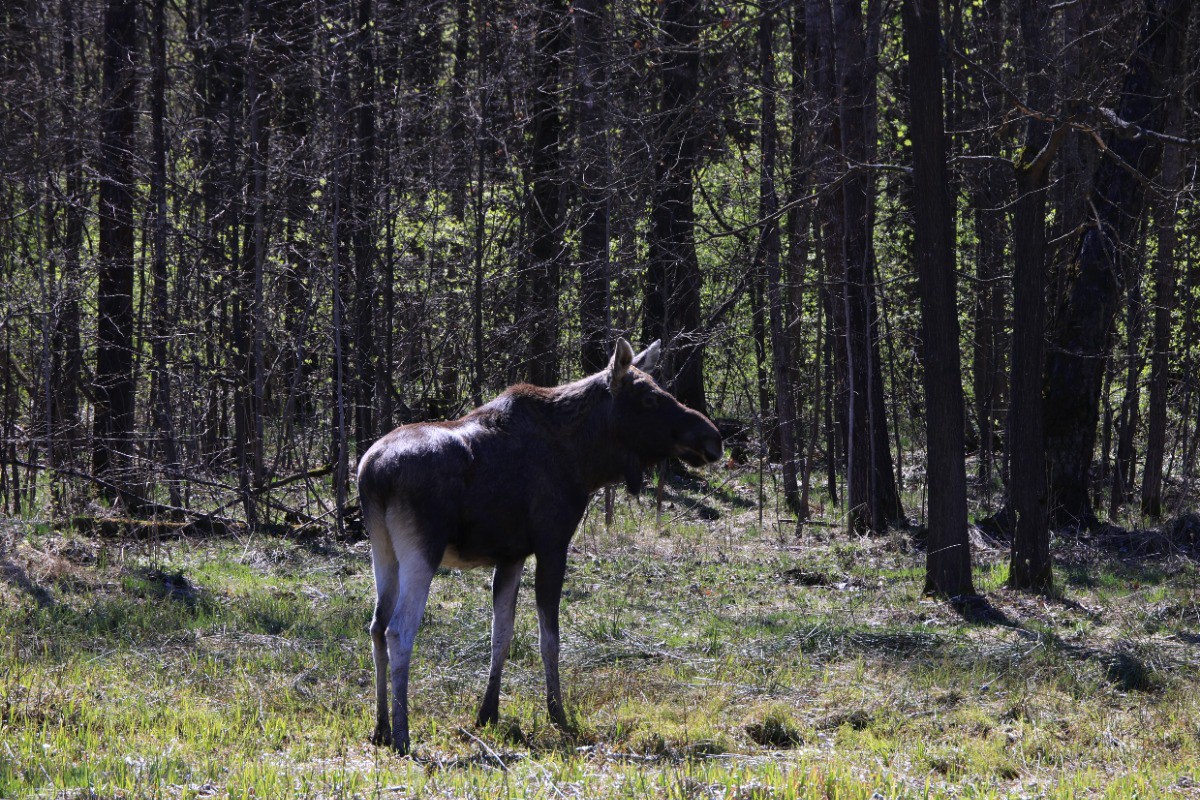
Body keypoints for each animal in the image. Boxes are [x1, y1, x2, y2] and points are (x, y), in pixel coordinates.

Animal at [355, 338, 723, 754]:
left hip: (383, 550)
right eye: (647, 398)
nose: (713, 437)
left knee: (376, 626)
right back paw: (402, 733)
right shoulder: (552, 543)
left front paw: (488, 713)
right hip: (422, 550)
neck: (585, 460)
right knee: (399, 631)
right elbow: (550, 638)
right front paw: (557, 714)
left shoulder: (511, 555)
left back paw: (381, 727)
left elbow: (501, 635)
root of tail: (371, 473)